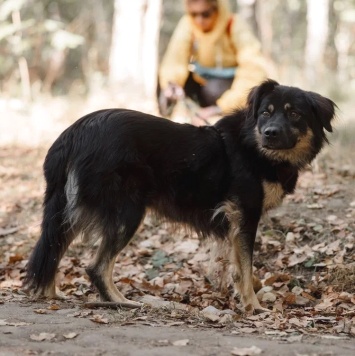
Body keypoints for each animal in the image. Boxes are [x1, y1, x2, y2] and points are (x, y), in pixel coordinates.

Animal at [25, 80, 336, 312]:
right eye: (265, 113)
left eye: (294, 114)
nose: (269, 133)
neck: (254, 146)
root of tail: (74, 133)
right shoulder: (245, 214)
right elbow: (245, 269)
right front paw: (253, 306)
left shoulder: (231, 222)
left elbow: (229, 265)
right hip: (127, 211)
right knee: (95, 267)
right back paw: (121, 302)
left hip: (68, 209)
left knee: (51, 249)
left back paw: (51, 295)